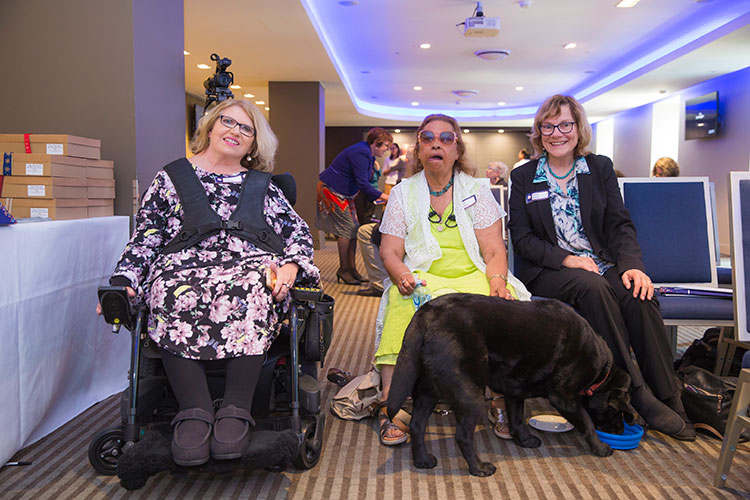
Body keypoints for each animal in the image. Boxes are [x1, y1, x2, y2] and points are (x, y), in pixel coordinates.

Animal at [388, 292, 640, 476]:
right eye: (618, 412)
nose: (621, 431)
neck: (601, 373)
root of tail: (427, 313)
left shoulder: (515, 391)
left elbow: (517, 418)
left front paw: (524, 439)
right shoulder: (564, 397)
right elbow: (586, 421)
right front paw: (600, 448)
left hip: (428, 391)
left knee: (417, 426)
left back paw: (423, 460)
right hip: (471, 393)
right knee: (463, 436)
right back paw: (479, 468)